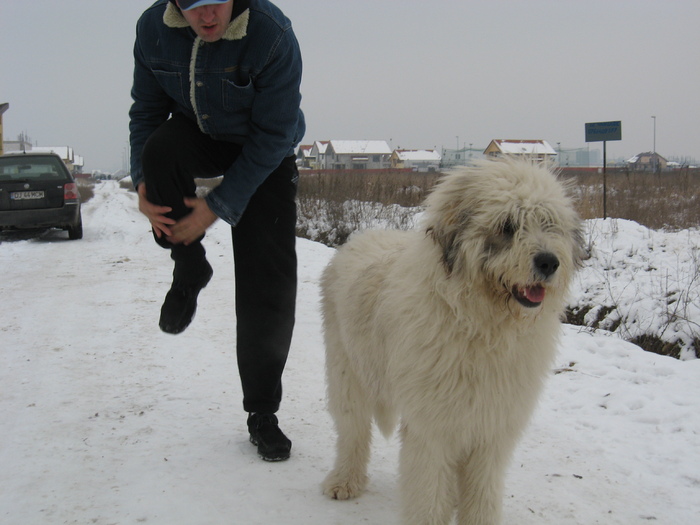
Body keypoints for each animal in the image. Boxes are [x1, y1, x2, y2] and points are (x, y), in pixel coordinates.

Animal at [320, 160, 584, 524]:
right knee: (353, 430)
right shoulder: (433, 427)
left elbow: (481, 492)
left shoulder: (490, 427)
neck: (482, 326)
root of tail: (365, 235)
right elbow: (429, 494)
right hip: (347, 370)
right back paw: (345, 480)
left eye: (549, 223)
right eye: (507, 225)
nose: (548, 262)